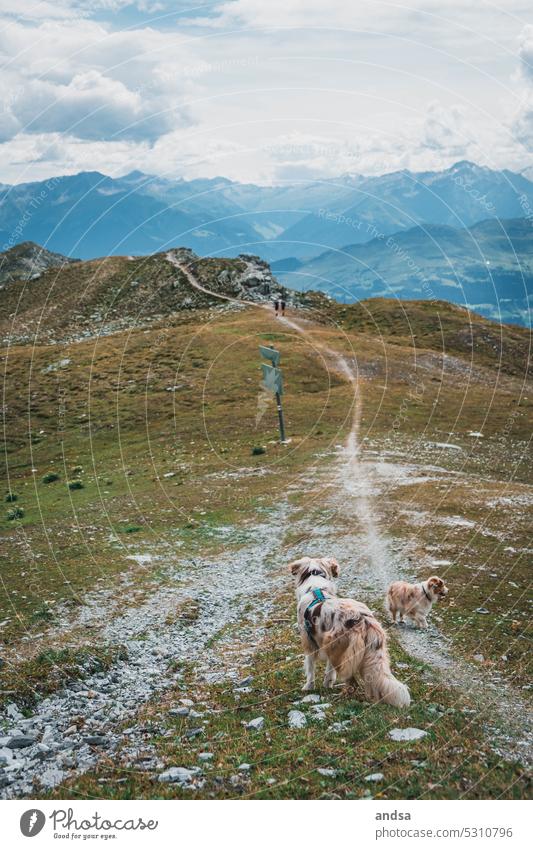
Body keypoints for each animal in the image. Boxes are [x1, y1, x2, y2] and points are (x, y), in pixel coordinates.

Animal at [288, 556, 410, 708]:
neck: (316, 587)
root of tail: (364, 620)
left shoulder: (309, 643)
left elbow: (310, 669)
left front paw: (308, 688)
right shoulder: (328, 648)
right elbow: (329, 671)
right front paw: (327, 684)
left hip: (342, 652)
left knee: (353, 684)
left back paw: (341, 697)